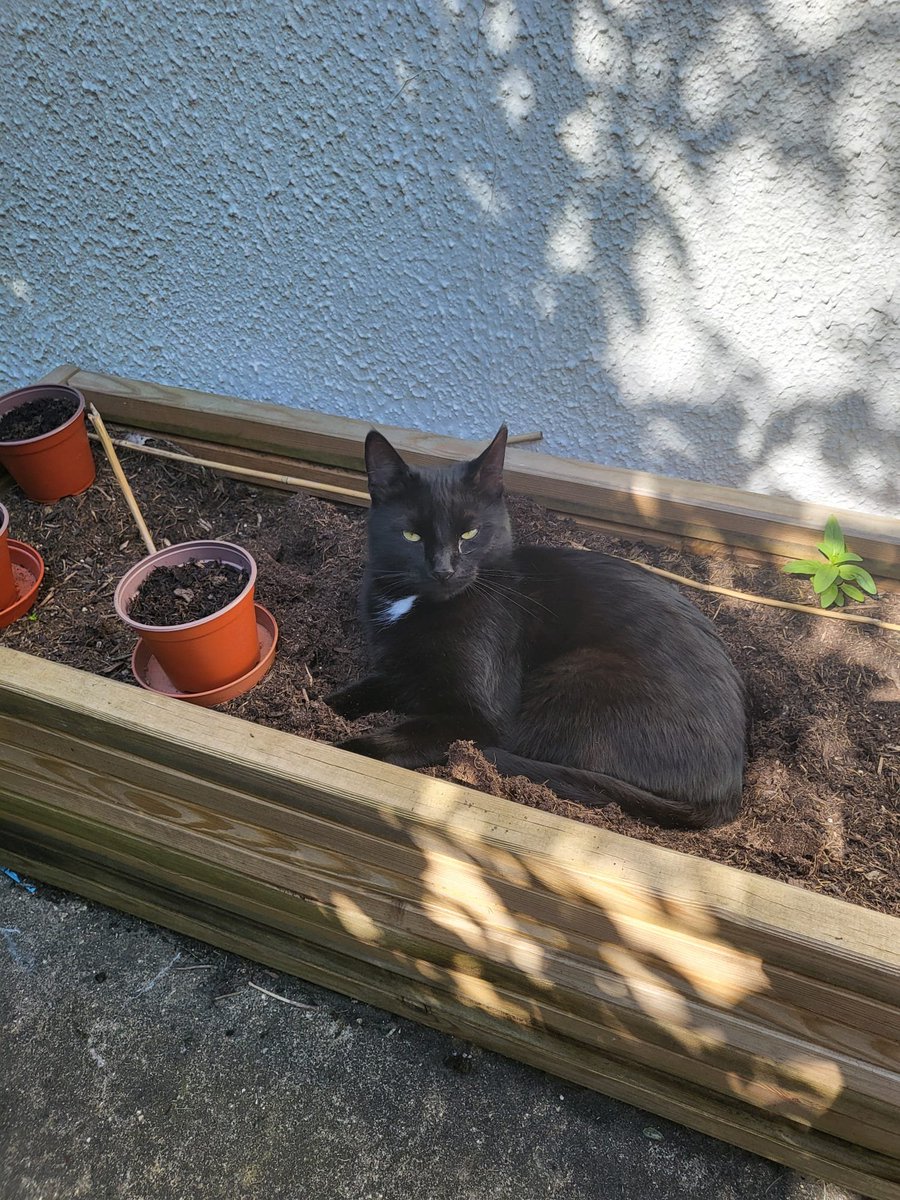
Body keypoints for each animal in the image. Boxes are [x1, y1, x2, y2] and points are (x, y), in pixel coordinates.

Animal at [328, 427, 748, 830]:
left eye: (470, 533)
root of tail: (728, 793)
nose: (444, 570)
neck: (417, 604)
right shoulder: (399, 671)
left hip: (578, 674)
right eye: (411, 535)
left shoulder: (479, 718)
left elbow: (401, 736)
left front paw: (343, 750)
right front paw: (322, 707)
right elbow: (359, 691)